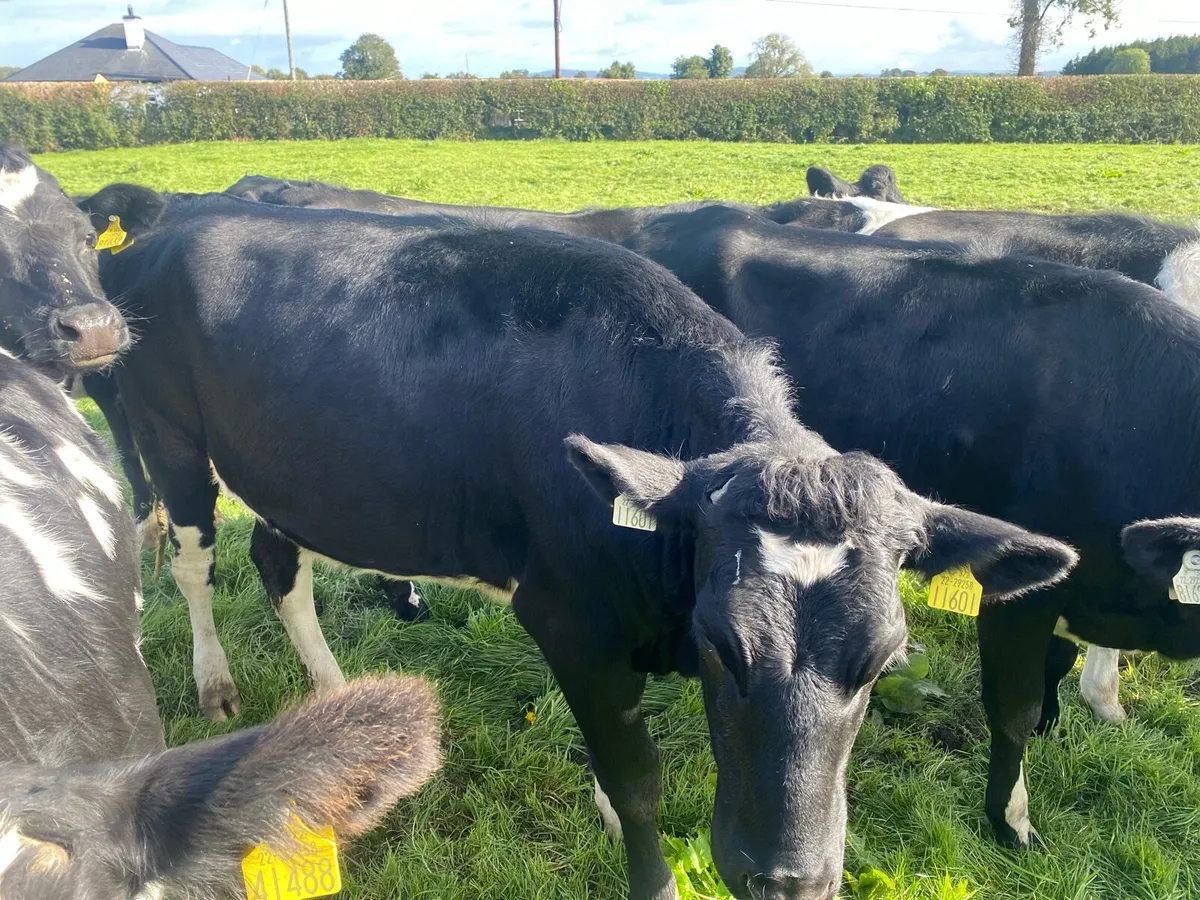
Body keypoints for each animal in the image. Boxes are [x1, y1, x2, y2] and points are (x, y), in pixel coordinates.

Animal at [76, 183, 1076, 900]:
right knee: (192, 560)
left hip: (298, 471)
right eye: (723, 645)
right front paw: (649, 870)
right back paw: (214, 682)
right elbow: (638, 781)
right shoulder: (565, 618)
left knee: (277, 561)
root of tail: (169, 225)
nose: (788, 880)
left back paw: (329, 689)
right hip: (169, 436)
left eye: (881, 661)